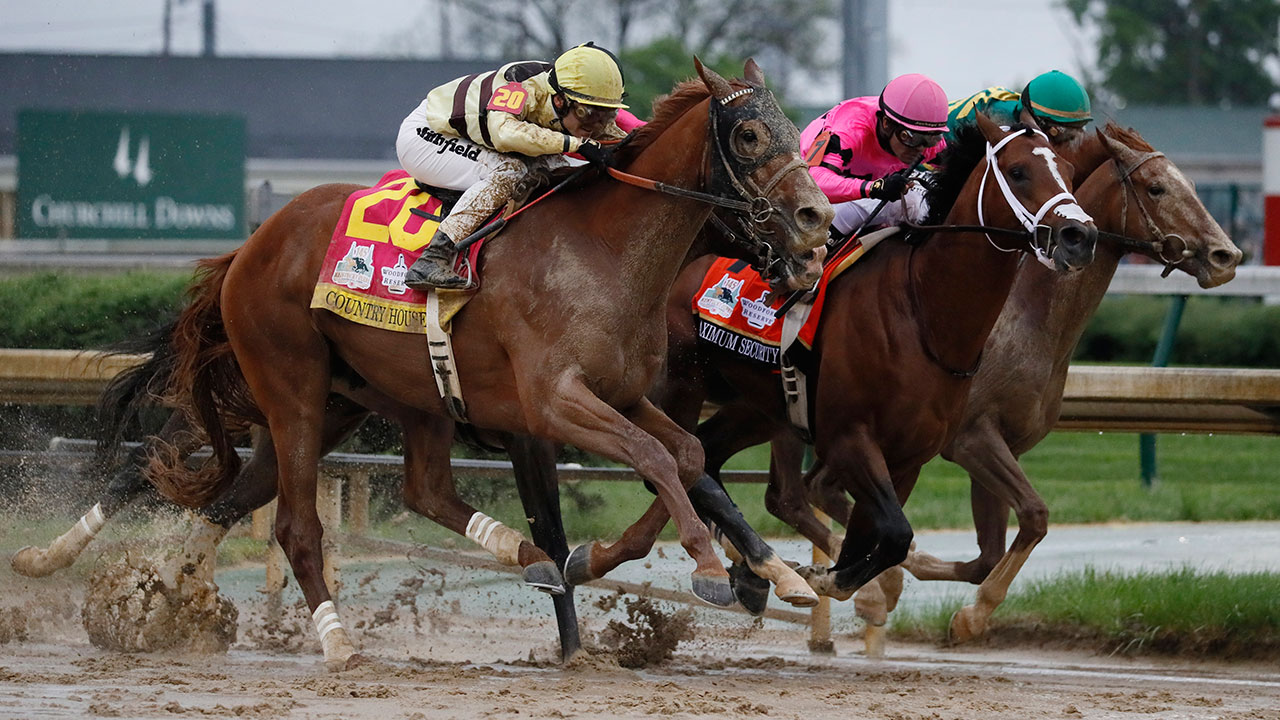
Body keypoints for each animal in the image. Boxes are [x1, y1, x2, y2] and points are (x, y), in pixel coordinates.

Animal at [32, 59, 832, 669]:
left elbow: (686, 456)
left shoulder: (621, 395)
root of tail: (253, 243)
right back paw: (335, 640)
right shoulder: (550, 405)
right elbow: (651, 463)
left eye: (794, 128)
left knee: (356, 491)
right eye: (750, 133)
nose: (817, 222)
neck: (601, 254)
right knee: (283, 516)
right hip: (291, 387)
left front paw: (751, 569)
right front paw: (706, 573)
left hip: (367, 399)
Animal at [557, 112, 1099, 607]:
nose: (1080, 237)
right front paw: (824, 577)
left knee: (707, 454)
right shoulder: (849, 440)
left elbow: (883, 537)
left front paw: (829, 576)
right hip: (681, 384)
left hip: (759, 405)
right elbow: (895, 533)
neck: (925, 316)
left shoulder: (909, 457)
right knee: (678, 464)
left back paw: (755, 572)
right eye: (1019, 171)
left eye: (1071, 172)